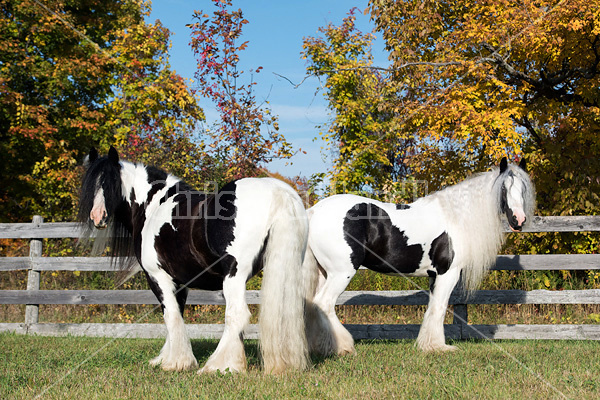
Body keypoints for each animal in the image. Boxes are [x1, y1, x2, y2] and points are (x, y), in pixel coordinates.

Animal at [79, 148, 310, 376]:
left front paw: (176, 362)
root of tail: (277, 191)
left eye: (111, 182)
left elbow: (170, 316)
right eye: (91, 184)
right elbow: (178, 315)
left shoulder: (157, 276)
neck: (152, 206)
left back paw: (218, 366)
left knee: (237, 315)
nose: (97, 216)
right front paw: (167, 357)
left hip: (234, 276)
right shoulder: (180, 281)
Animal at [304, 158, 536, 354]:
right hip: (341, 273)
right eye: (504, 189)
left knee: (314, 306)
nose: (519, 220)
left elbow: (432, 308)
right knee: (324, 303)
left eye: (523, 188)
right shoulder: (448, 273)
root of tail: (314, 211)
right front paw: (438, 347)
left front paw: (428, 345)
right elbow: (440, 308)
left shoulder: (434, 276)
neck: (455, 217)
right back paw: (343, 347)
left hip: (324, 273)